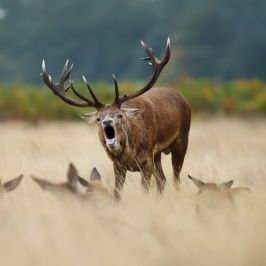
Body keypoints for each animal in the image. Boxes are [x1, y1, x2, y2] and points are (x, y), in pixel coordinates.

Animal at [41, 39, 191, 200]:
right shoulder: (117, 166)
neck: (129, 153)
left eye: (120, 115)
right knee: (162, 180)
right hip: (157, 155)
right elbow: (117, 194)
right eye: (98, 118)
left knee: (175, 179)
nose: (107, 122)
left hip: (181, 140)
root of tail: (182, 97)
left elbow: (144, 192)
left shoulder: (146, 161)